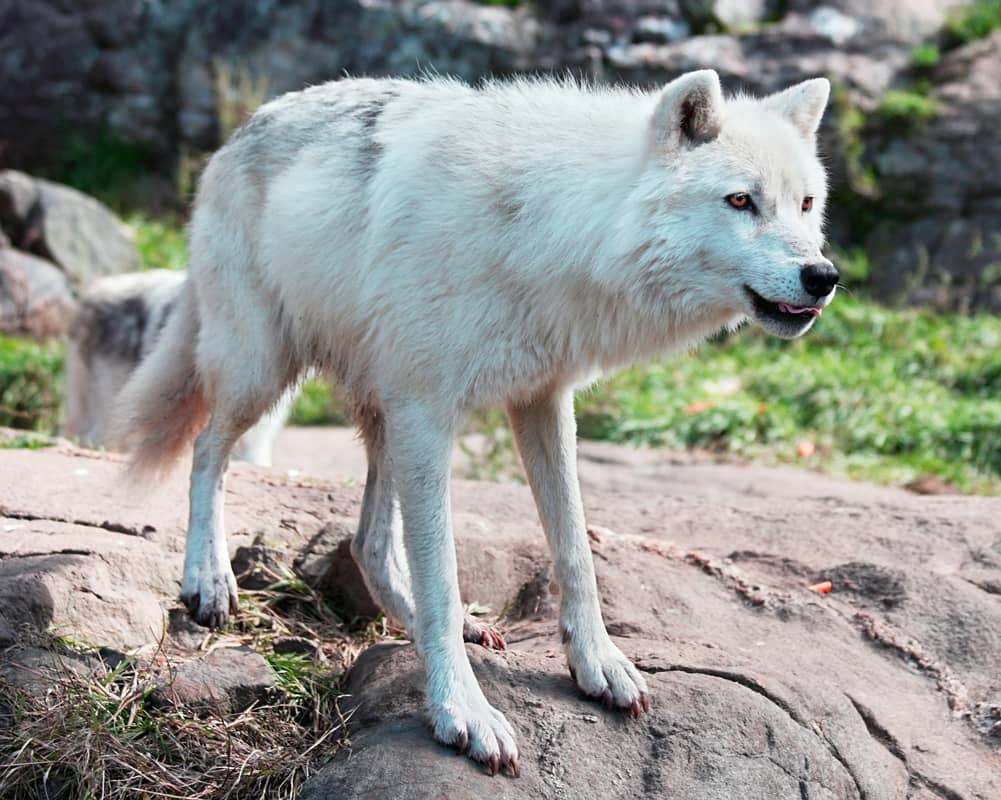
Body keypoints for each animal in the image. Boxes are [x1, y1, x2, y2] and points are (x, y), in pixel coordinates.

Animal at [110, 69, 836, 775]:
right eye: (740, 201)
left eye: (804, 204)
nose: (823, 275)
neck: (553, 225)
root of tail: (244, 128)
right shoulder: (429, 413)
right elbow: (442, 572)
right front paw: (463, 712)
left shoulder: (542, 400)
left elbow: (574, 550)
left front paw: (596, 665)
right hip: (265, 373)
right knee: (208, 449)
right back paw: (208, 580)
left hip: (380, 412)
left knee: (369, 545)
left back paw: (448, 623)